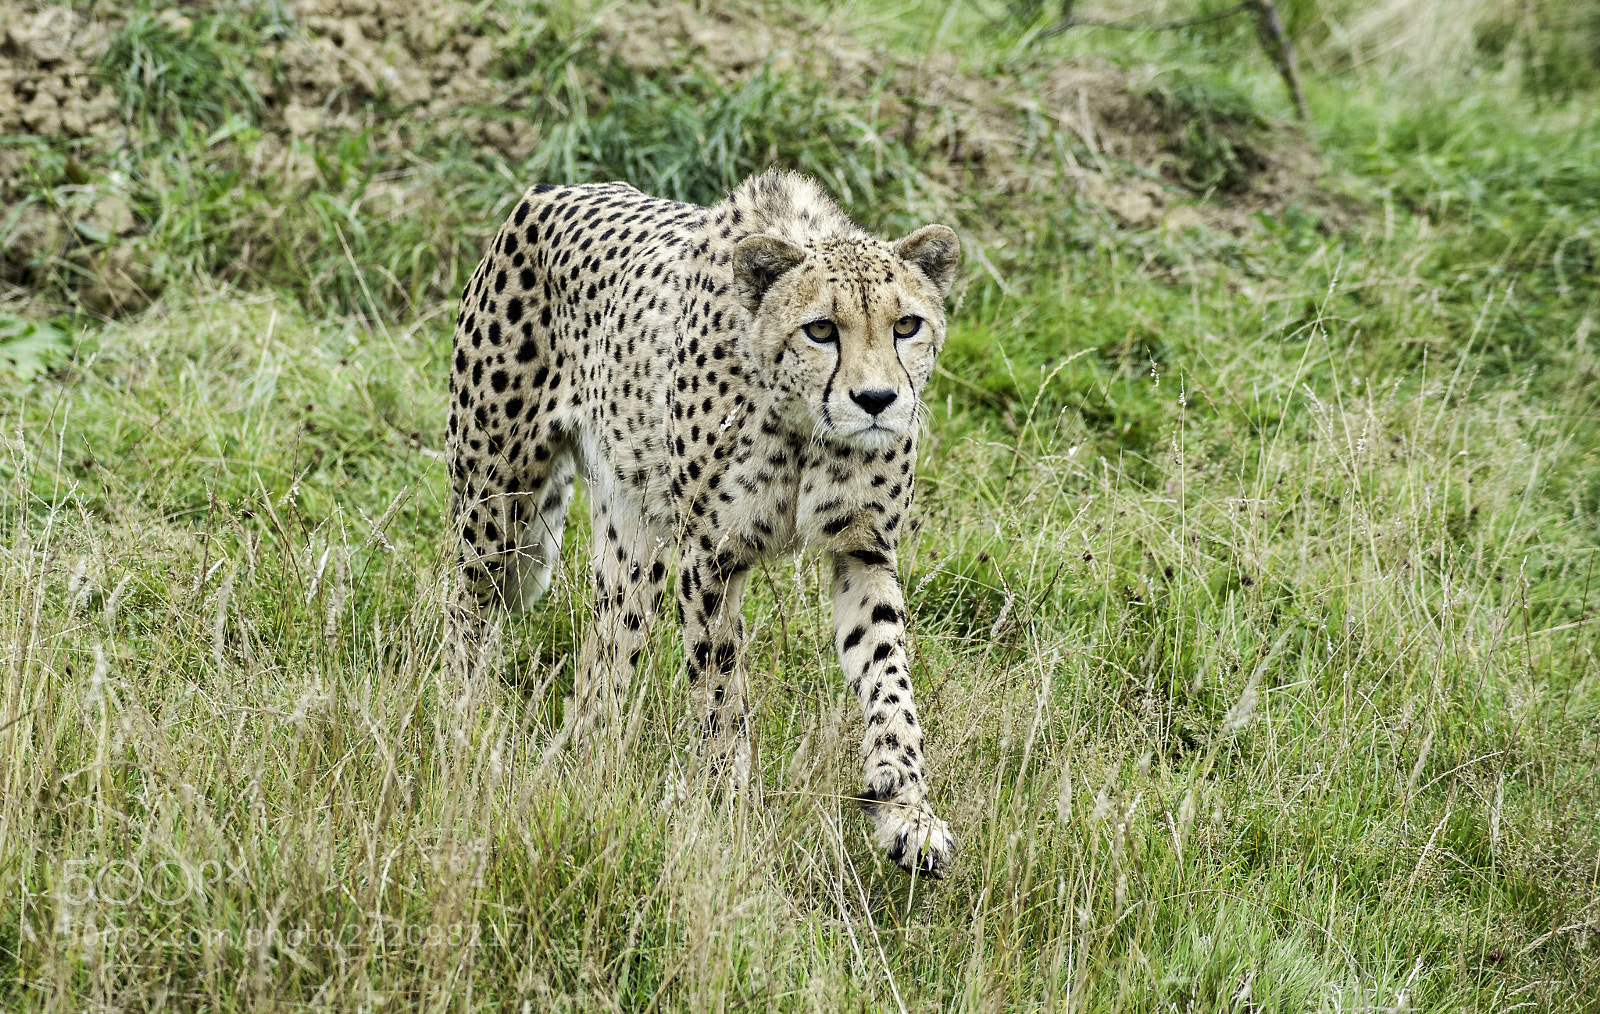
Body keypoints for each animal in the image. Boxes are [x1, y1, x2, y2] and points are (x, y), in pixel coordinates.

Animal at [446, 169, 961, 876]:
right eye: (821, 330)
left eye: (906, 325)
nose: (877, 399)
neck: (804, 425)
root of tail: (549, 189)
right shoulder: (711, 555)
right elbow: (719, 687)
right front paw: (725, 804)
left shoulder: (863, 549)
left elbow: (889, 679)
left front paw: (907, 811)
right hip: (494, 500)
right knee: (463, 611)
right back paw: (456, 729)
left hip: (632, 545)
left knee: (604, 660)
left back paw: (586, 767)